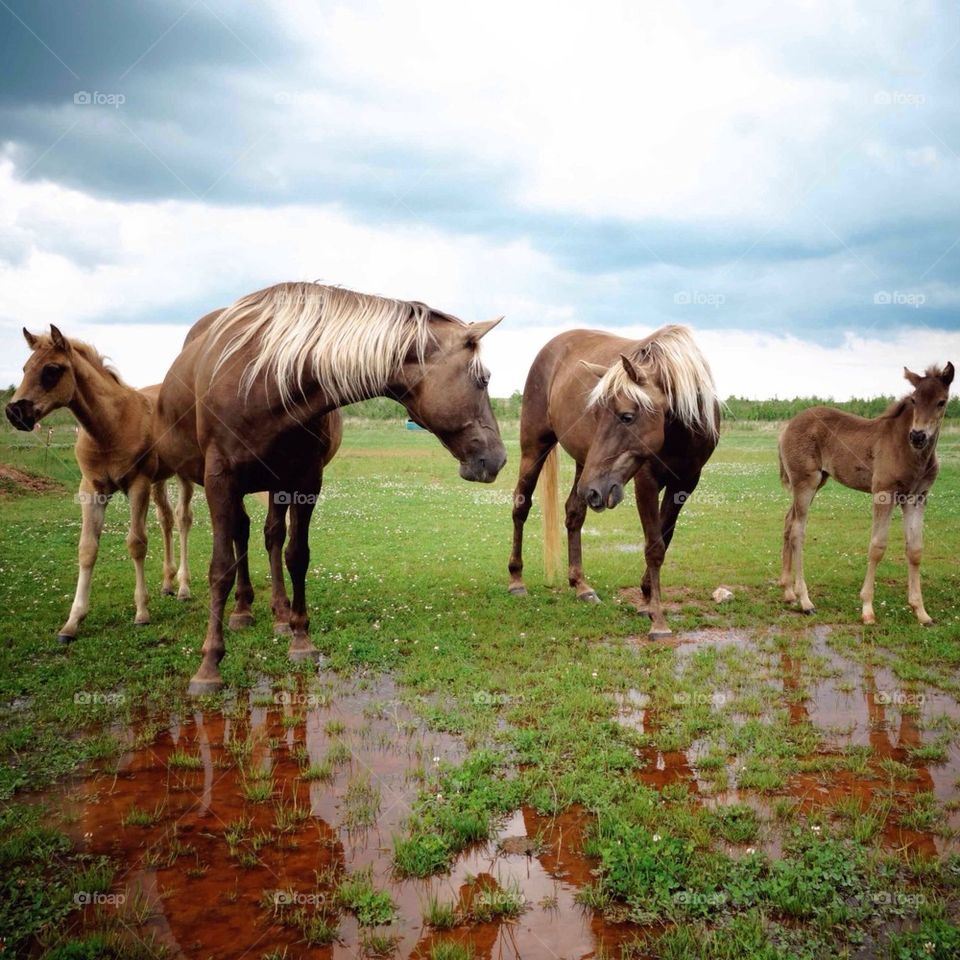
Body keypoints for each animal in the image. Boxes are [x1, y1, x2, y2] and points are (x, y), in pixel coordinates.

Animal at [154, 278, 506, 688]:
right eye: (483, 379)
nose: (499, 458)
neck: (266, 379)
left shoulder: (305, 481)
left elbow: (296, 556)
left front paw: (300, 638)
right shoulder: (219, 481)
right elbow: (221, 566)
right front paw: (209, 663)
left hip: (275, 485)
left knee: (269, 536)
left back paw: (277, 614)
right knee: (241, 534)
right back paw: (241, 611)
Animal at [510, 326, 720, 640]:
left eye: (627, 416)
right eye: (597, 413)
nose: (596, 490)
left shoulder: (685, 484)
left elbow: (665, 538)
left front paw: (647, 599)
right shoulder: (646, 482)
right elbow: (654, 547)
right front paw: (658, 620)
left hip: (584, 466)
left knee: (574, 514)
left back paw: (581, 586)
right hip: (536, 448)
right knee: (521, 506)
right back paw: (516, 580)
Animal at [780, 360, 952, 624]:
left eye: (941, 402)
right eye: (914, 399)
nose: (918, 436)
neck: (910, 452)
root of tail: (788, 426)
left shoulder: (917, 497)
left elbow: (915, 550)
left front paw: (921, 612)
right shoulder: (884, 493)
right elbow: (877, 547)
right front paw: (867, 609)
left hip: (816, 482)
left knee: (789, 522)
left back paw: (788, 592)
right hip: (805, 482)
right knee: (798, 531)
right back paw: (805, 601)